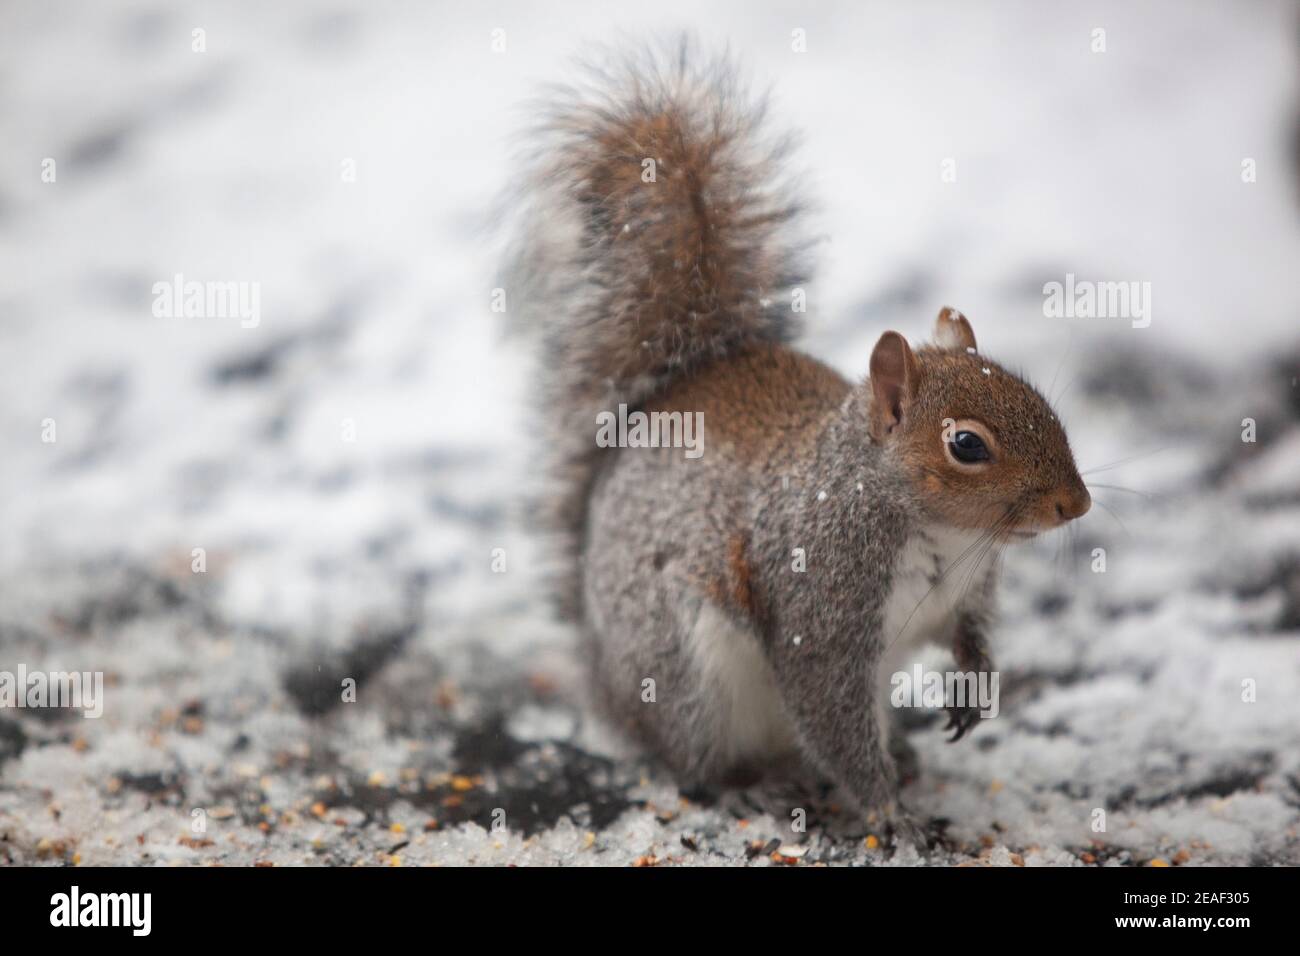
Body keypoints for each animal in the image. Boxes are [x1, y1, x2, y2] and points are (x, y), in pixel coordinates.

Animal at [501, 41, 1092, 842]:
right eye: (967, 446)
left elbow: (969, 632)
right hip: (685, 678)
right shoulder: (820, 603)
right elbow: (831, 709)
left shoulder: (966, 591)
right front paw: (889, 814)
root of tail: (602, 675)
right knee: (693, 758)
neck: (943, 535)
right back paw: (747, 786)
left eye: (1041, 402)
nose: (1076, 505)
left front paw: (975, 682)